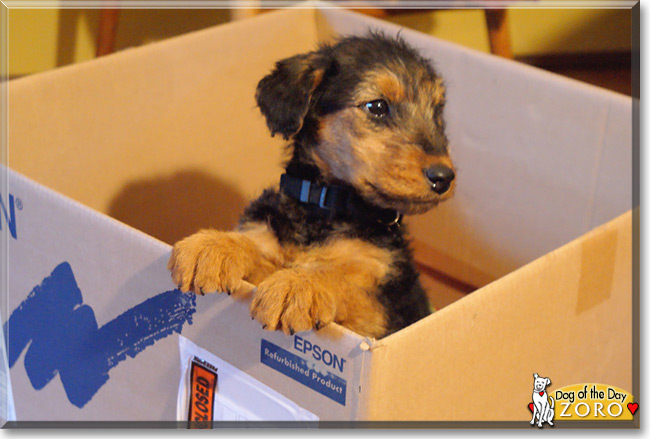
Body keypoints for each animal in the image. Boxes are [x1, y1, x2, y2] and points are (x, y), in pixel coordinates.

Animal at [167, 32, 456, 338]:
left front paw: (298, 284)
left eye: (437, 112)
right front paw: (213, 245)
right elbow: (259, 251)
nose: (443, 177)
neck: (327, 207)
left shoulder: (385, 315)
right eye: (377, 106)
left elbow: (341, 282)